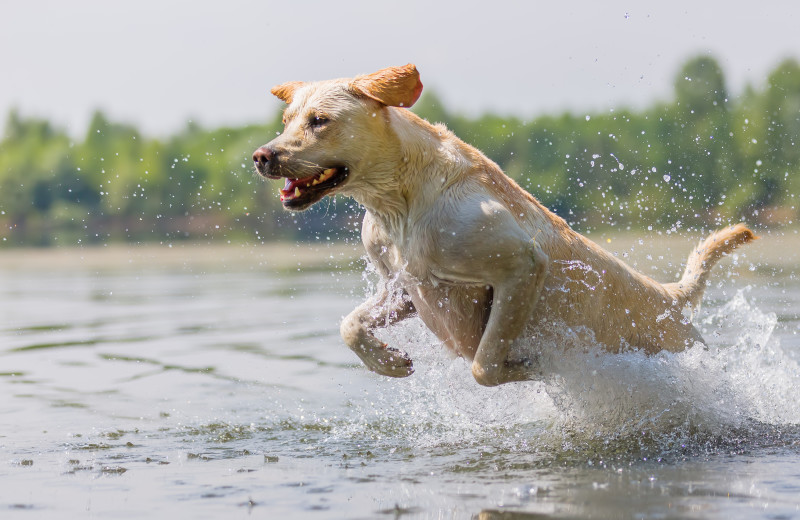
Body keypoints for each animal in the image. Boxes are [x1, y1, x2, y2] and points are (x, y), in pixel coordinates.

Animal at [252, 64, 756, 386]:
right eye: (286, 120)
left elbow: (483, 363)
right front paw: (387, 361)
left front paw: (531, 368)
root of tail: (669, 296)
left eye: (320, 121)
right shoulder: (403, 287)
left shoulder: (521, 266)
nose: (261, 155)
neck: (401, 198)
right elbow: (350, 325)